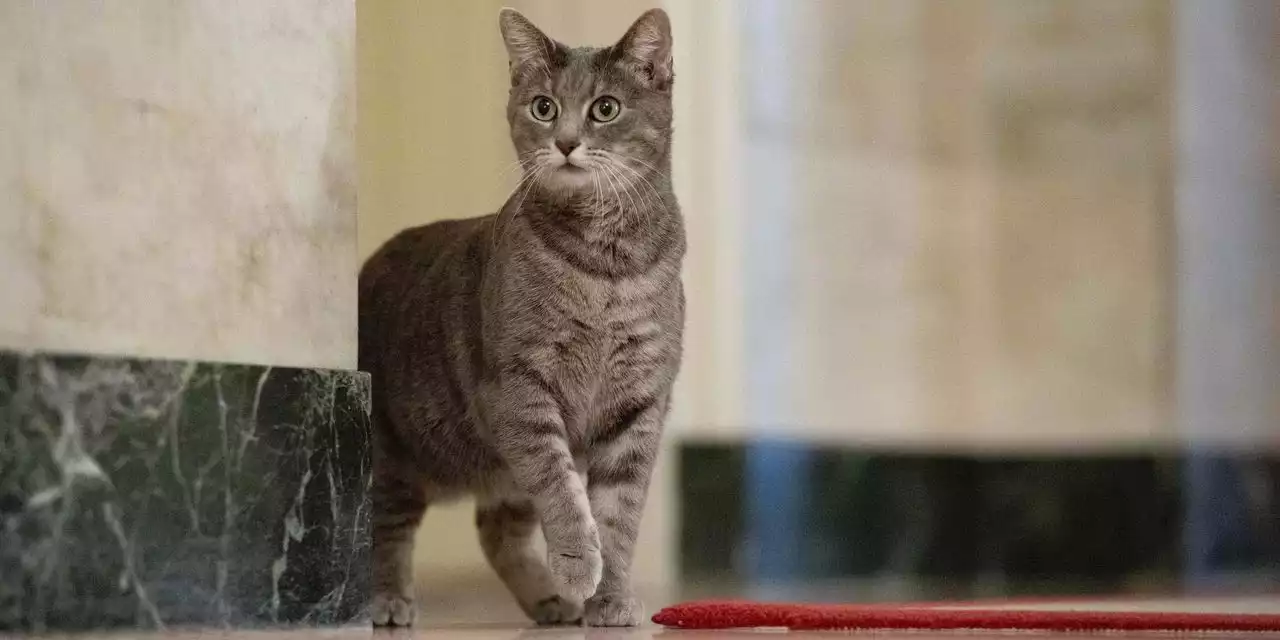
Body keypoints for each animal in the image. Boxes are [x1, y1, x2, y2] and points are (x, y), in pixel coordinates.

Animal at [355, 7, 686, 629]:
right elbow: (560, 487)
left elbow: (619, 516)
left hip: (497, 473)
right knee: (384, 527)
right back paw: (386, 600)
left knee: (496, 531)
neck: (606, 267)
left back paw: (551, 600)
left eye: (605, 108)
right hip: (392, 452)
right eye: (543, 107)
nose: (566, 143)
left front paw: (609, 598)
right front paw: (580, 565)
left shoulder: (640, 404)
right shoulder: (519, 389)